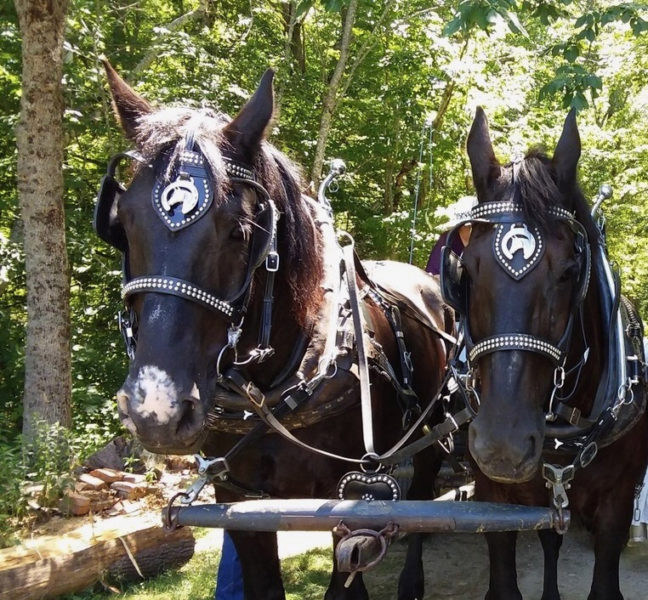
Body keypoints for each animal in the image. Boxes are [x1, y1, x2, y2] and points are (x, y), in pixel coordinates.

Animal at [96, 62, 454, 600]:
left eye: (240, 230)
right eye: (123, 224)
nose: (155, 410)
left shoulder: (354, 500)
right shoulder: (240, 501)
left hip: (430, 423)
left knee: (424, 492)